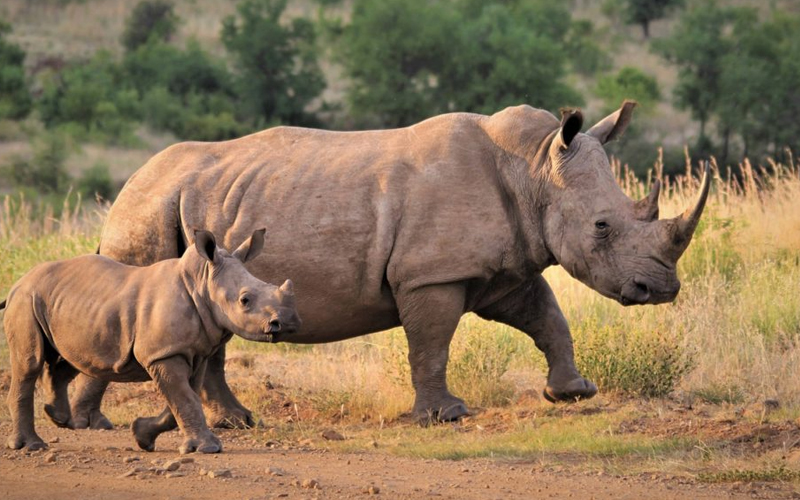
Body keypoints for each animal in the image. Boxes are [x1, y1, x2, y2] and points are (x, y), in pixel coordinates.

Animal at [2, 229, 300, 456]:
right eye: (244, 300)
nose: (288, 322)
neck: (202, 282)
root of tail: (19, 281)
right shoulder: (163, 353)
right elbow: (185, 398)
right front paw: (208, 448)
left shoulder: (193, 352)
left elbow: (181, 399)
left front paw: (142, 436)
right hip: (25, 300)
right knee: (30, 364)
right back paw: (32, 446)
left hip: (65, 304)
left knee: (70, 358)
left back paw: (58, 417)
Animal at [65, 99, 708, 428]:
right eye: (602, 227)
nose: (661, 288)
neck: (533, 169)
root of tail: (129, 182)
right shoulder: (431, 273)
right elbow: (432, 342)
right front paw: (445, 417)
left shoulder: (505, 268)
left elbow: (548, 318)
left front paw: (573, 393)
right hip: (148, 211)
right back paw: (89, 425)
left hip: (190, 209)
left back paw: (238, 423)